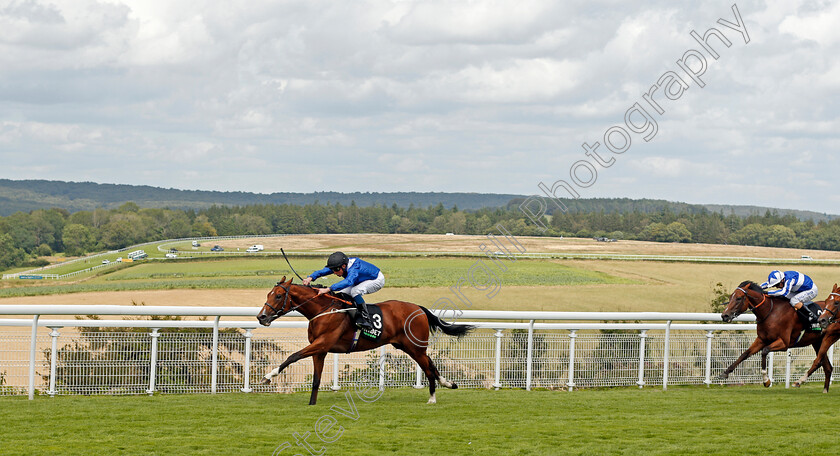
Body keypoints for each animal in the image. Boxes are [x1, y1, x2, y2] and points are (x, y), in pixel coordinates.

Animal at [253, 276, 476, 404]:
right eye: (269, 294)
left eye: (279, 296)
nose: (261, 317)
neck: (324, 310)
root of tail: (419, 309)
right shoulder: (320, 349)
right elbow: (316, 379)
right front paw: (312, 404)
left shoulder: (322, 343)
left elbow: (292, 356)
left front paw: (267, 376)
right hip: (407, 346)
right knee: (430, 363)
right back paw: (448, 383)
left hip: (415, 347)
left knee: (428, 367)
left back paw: (432, 397)